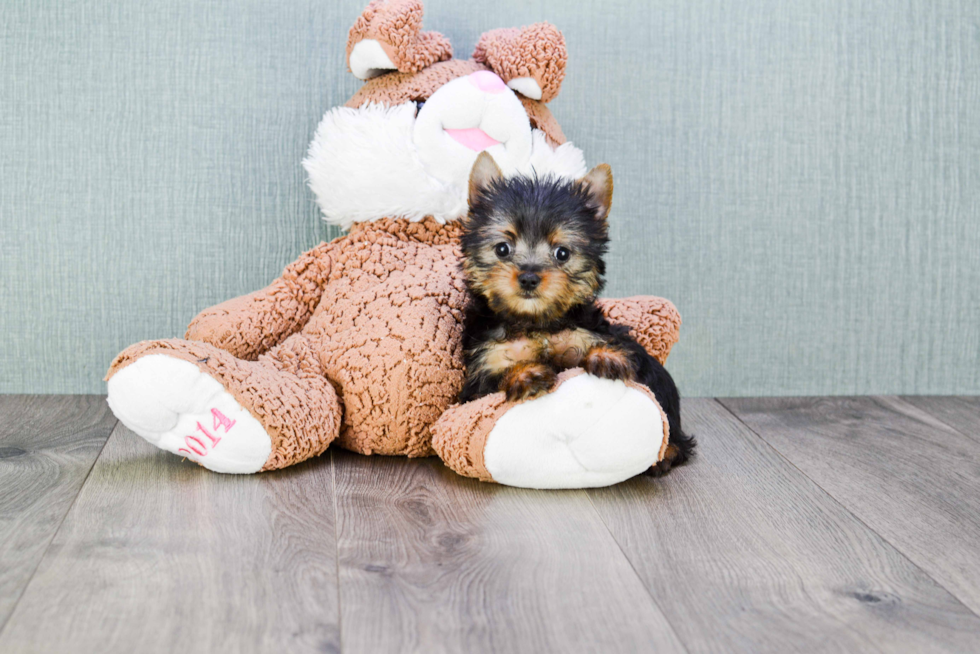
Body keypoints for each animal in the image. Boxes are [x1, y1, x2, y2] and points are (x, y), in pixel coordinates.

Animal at [456, 156, 692, 480]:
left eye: (562, 253)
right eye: (502, 248)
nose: (529, 277)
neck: (536, 322)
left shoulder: (589, 332)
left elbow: (605, 346)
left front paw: (606, 356)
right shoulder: (480, 375)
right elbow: (494, 381)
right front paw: (526, 374)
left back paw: (666, 453)